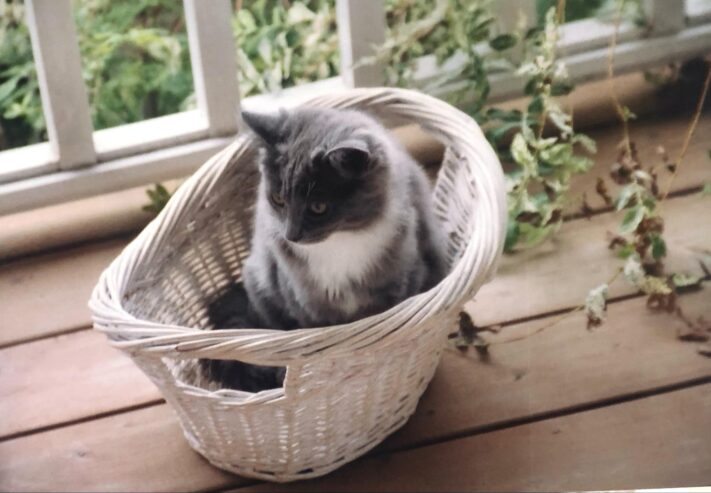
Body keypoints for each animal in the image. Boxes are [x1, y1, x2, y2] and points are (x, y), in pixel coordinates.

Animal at [202, 107, 444, 392]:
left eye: (318, 207)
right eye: (278, 199)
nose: (291, 235)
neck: (338, 244)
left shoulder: (400, 285)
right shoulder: (306, 304)